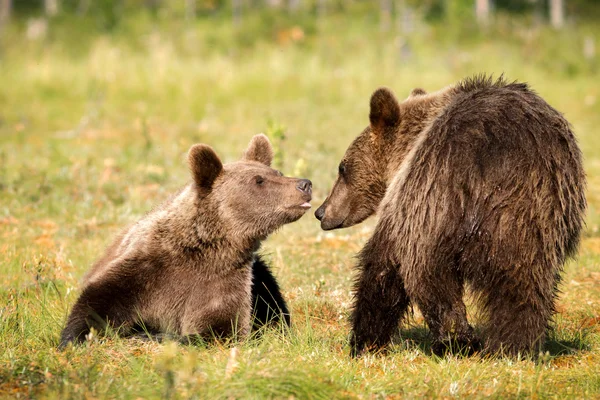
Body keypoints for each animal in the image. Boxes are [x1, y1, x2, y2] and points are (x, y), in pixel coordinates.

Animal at [314, 76, 584, 358]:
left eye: (342, 167)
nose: (321, 211)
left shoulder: (408, 194)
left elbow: (385, 261)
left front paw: (364, 338)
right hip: (532, 215)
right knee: (524, 282)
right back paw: (513, 346)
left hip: (439, 190)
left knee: (426, 271)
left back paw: (456, 340)